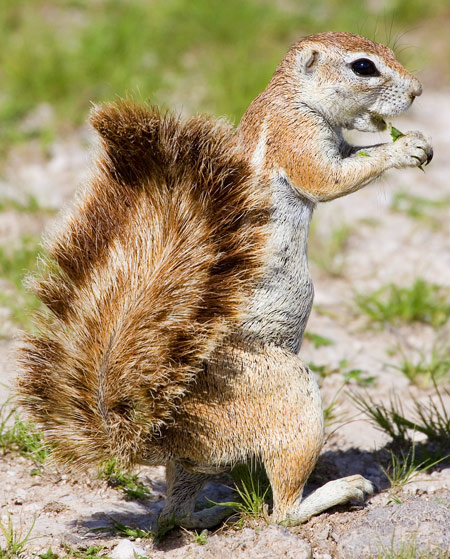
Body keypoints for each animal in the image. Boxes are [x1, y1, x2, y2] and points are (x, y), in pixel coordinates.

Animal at [16, 32, 432, 532]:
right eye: (364, 67)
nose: (418, 91)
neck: (291, 95)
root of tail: (154, 432)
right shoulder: (296, 136)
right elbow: (328, 177)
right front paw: (404, 148)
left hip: (194, 462)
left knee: (172, 517)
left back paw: (214, 512)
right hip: (288, 394)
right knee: (281, 513)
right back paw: (337, 491)